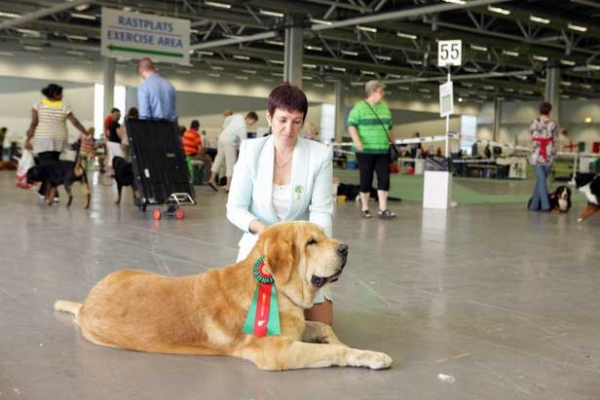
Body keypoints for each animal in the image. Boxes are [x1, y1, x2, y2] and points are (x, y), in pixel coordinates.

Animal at [55, 220, 394, 370]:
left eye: (324, 235)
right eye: (312, 242)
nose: (345, 248)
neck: (276, 287)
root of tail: (86, 303)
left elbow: (325, 328)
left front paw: (344, 342)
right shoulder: (277, 352)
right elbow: (334, 352)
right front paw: (371, 356)